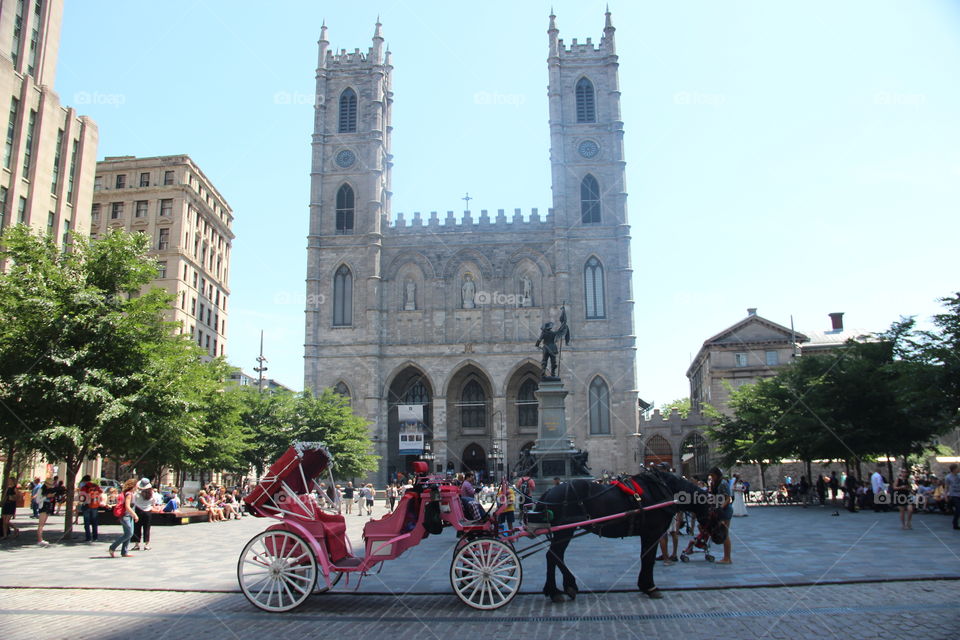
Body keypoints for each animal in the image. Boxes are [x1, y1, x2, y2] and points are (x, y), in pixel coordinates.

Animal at [536, 470, 716, 600]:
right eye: (713, 510)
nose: (717, 537)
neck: (663, 489)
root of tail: (548, 493)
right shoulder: (653, 532)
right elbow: (648, 559)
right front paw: (651, 587)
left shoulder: (647, 533)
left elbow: (645, 557)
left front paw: (645, 586)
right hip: (564, 530)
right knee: (553, 555)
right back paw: (559, 589)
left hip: (563, 531)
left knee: (554, 556)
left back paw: (560, 588)